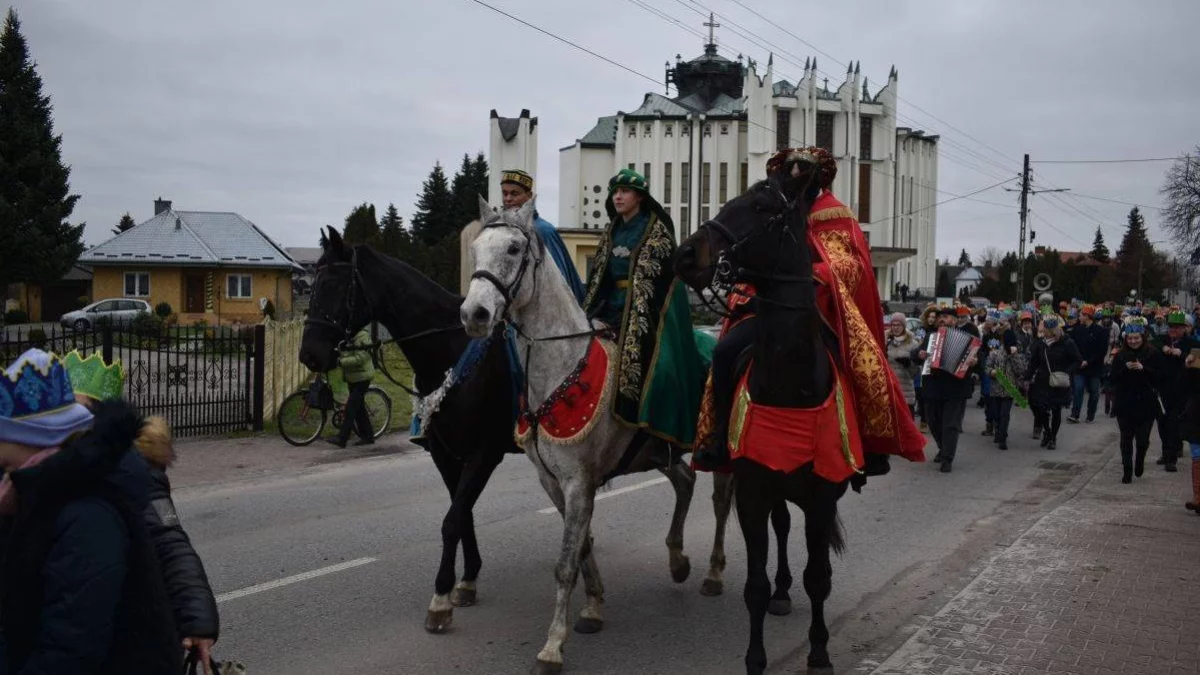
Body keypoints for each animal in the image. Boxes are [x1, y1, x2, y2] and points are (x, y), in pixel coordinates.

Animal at [297, 224, 518, 629]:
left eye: (334, 285)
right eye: (312, 284)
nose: (310, 354)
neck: (451, 347)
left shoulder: (484, 453)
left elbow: (452, 520)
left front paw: (441, 598)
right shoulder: (445, 454)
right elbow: (461, 515)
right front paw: (467, 579)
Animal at [676, 158, 854, 672]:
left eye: (760, 207)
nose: (685, 254)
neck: (789, 387)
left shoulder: (822, 498)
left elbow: (820, 577)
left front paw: (819, 652)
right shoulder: (754, 492)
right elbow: (754, 585)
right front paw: (756, 657)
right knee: (781, 526)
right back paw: (781, 591)